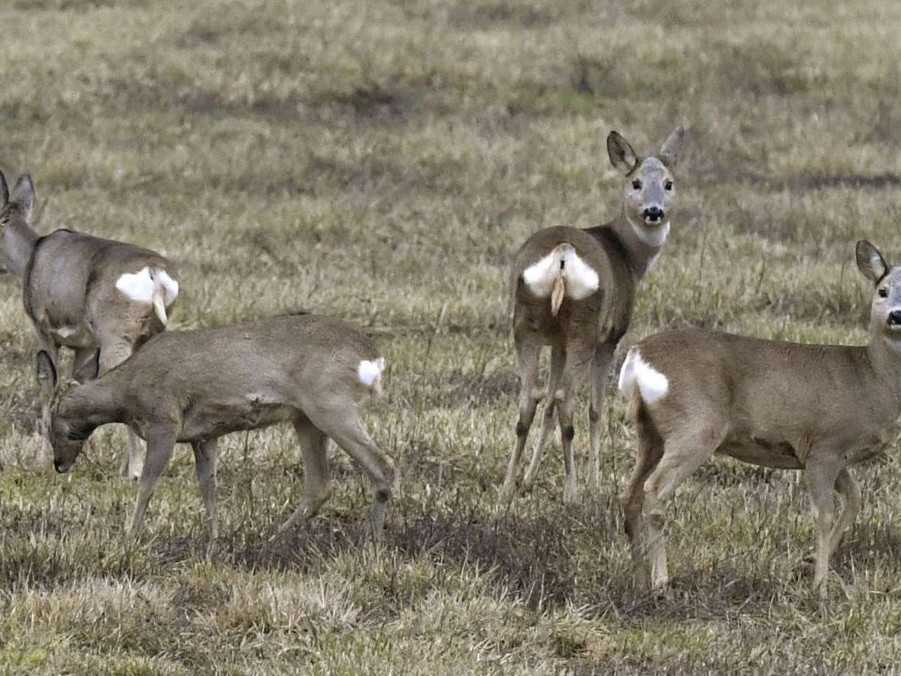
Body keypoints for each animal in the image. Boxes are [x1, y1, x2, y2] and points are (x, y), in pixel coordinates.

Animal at [0, 172, 179, 478]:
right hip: (148, 335)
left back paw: (131, 473)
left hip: (116, 337)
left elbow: (47, 383)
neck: (31, 256)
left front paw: (41, 458)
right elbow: (77, 385)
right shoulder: (84, 345)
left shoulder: (43, 329)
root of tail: (155, 273)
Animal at [36, 312, 394, 544]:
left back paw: (372, 543)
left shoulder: (164, 421)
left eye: (50, 423)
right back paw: (271, 539)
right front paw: (213, 541)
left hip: (330, 405)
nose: (59, 464)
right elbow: (208, 486)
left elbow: (148, 484)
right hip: (305, 418)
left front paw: (129, 538)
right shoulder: (204, 436)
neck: (126, 393)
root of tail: (373, 358)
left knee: (383, 466)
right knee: (320, 485)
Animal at [500, 128, 684, 508]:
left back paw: (507, 487)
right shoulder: (610, 337)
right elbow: (596, 409)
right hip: (585, 325)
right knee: (569, 403)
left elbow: (547, 404)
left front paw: (529, 478)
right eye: (635, 182)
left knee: (530, 401)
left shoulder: (556, 342)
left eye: (669, 183)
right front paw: (596, 481)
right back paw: (574, 493)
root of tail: (562, 255)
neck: (628, 256)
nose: (654, 211)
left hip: (528, 322)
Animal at [624, 240, 901, 596]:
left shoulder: (829, 455)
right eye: (882, 290)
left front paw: (807, 563)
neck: (871, 377)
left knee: (630, 495)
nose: (896, 315)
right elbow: (823, 514)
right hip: (695, 425)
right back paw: (661, 582)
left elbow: (854, 500)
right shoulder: (823, 446)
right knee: (654, 491)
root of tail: (638, 355)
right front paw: (820, 586)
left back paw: (639, 578)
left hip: (650, 432)